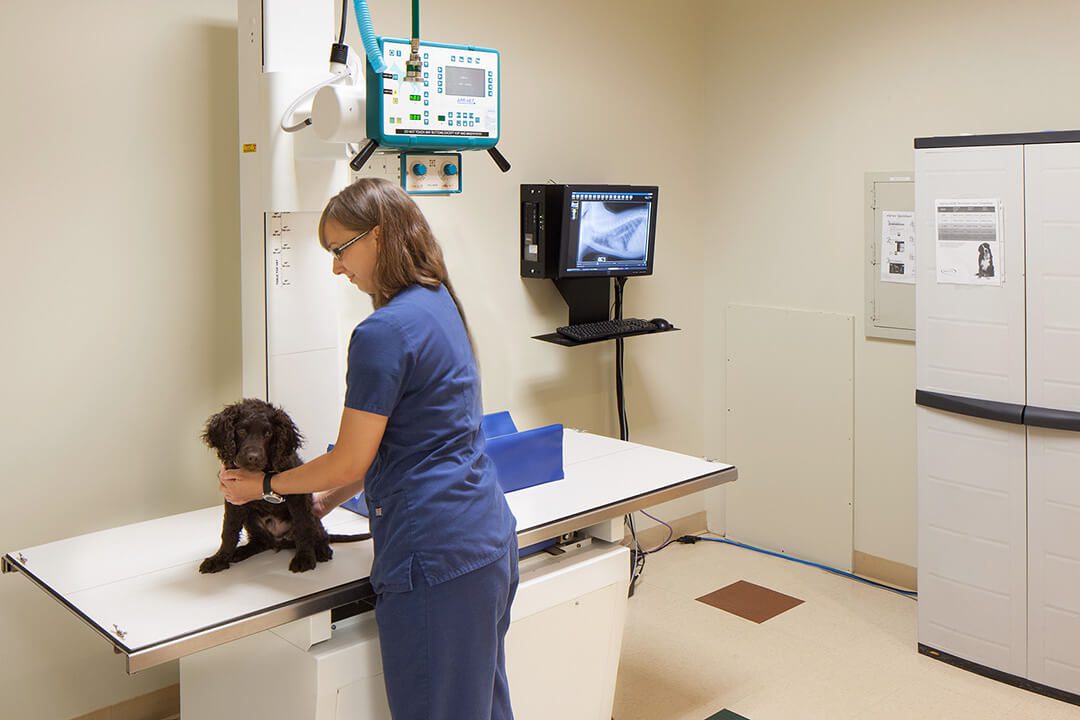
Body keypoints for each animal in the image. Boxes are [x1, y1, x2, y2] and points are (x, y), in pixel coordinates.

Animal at [200, 399, 369, 574]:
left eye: (268, 433)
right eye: (241, 430)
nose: (253, 458)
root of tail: (279, 540)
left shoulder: (298, 496)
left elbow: (302, 527)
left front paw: (304, 558)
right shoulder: (234, 498)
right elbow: (229, 530)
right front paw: (219, 559)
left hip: (312, 516)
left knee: (319, 534)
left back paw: (322, 550)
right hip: (251, 520)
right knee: (261, 542)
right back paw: (240, 552)